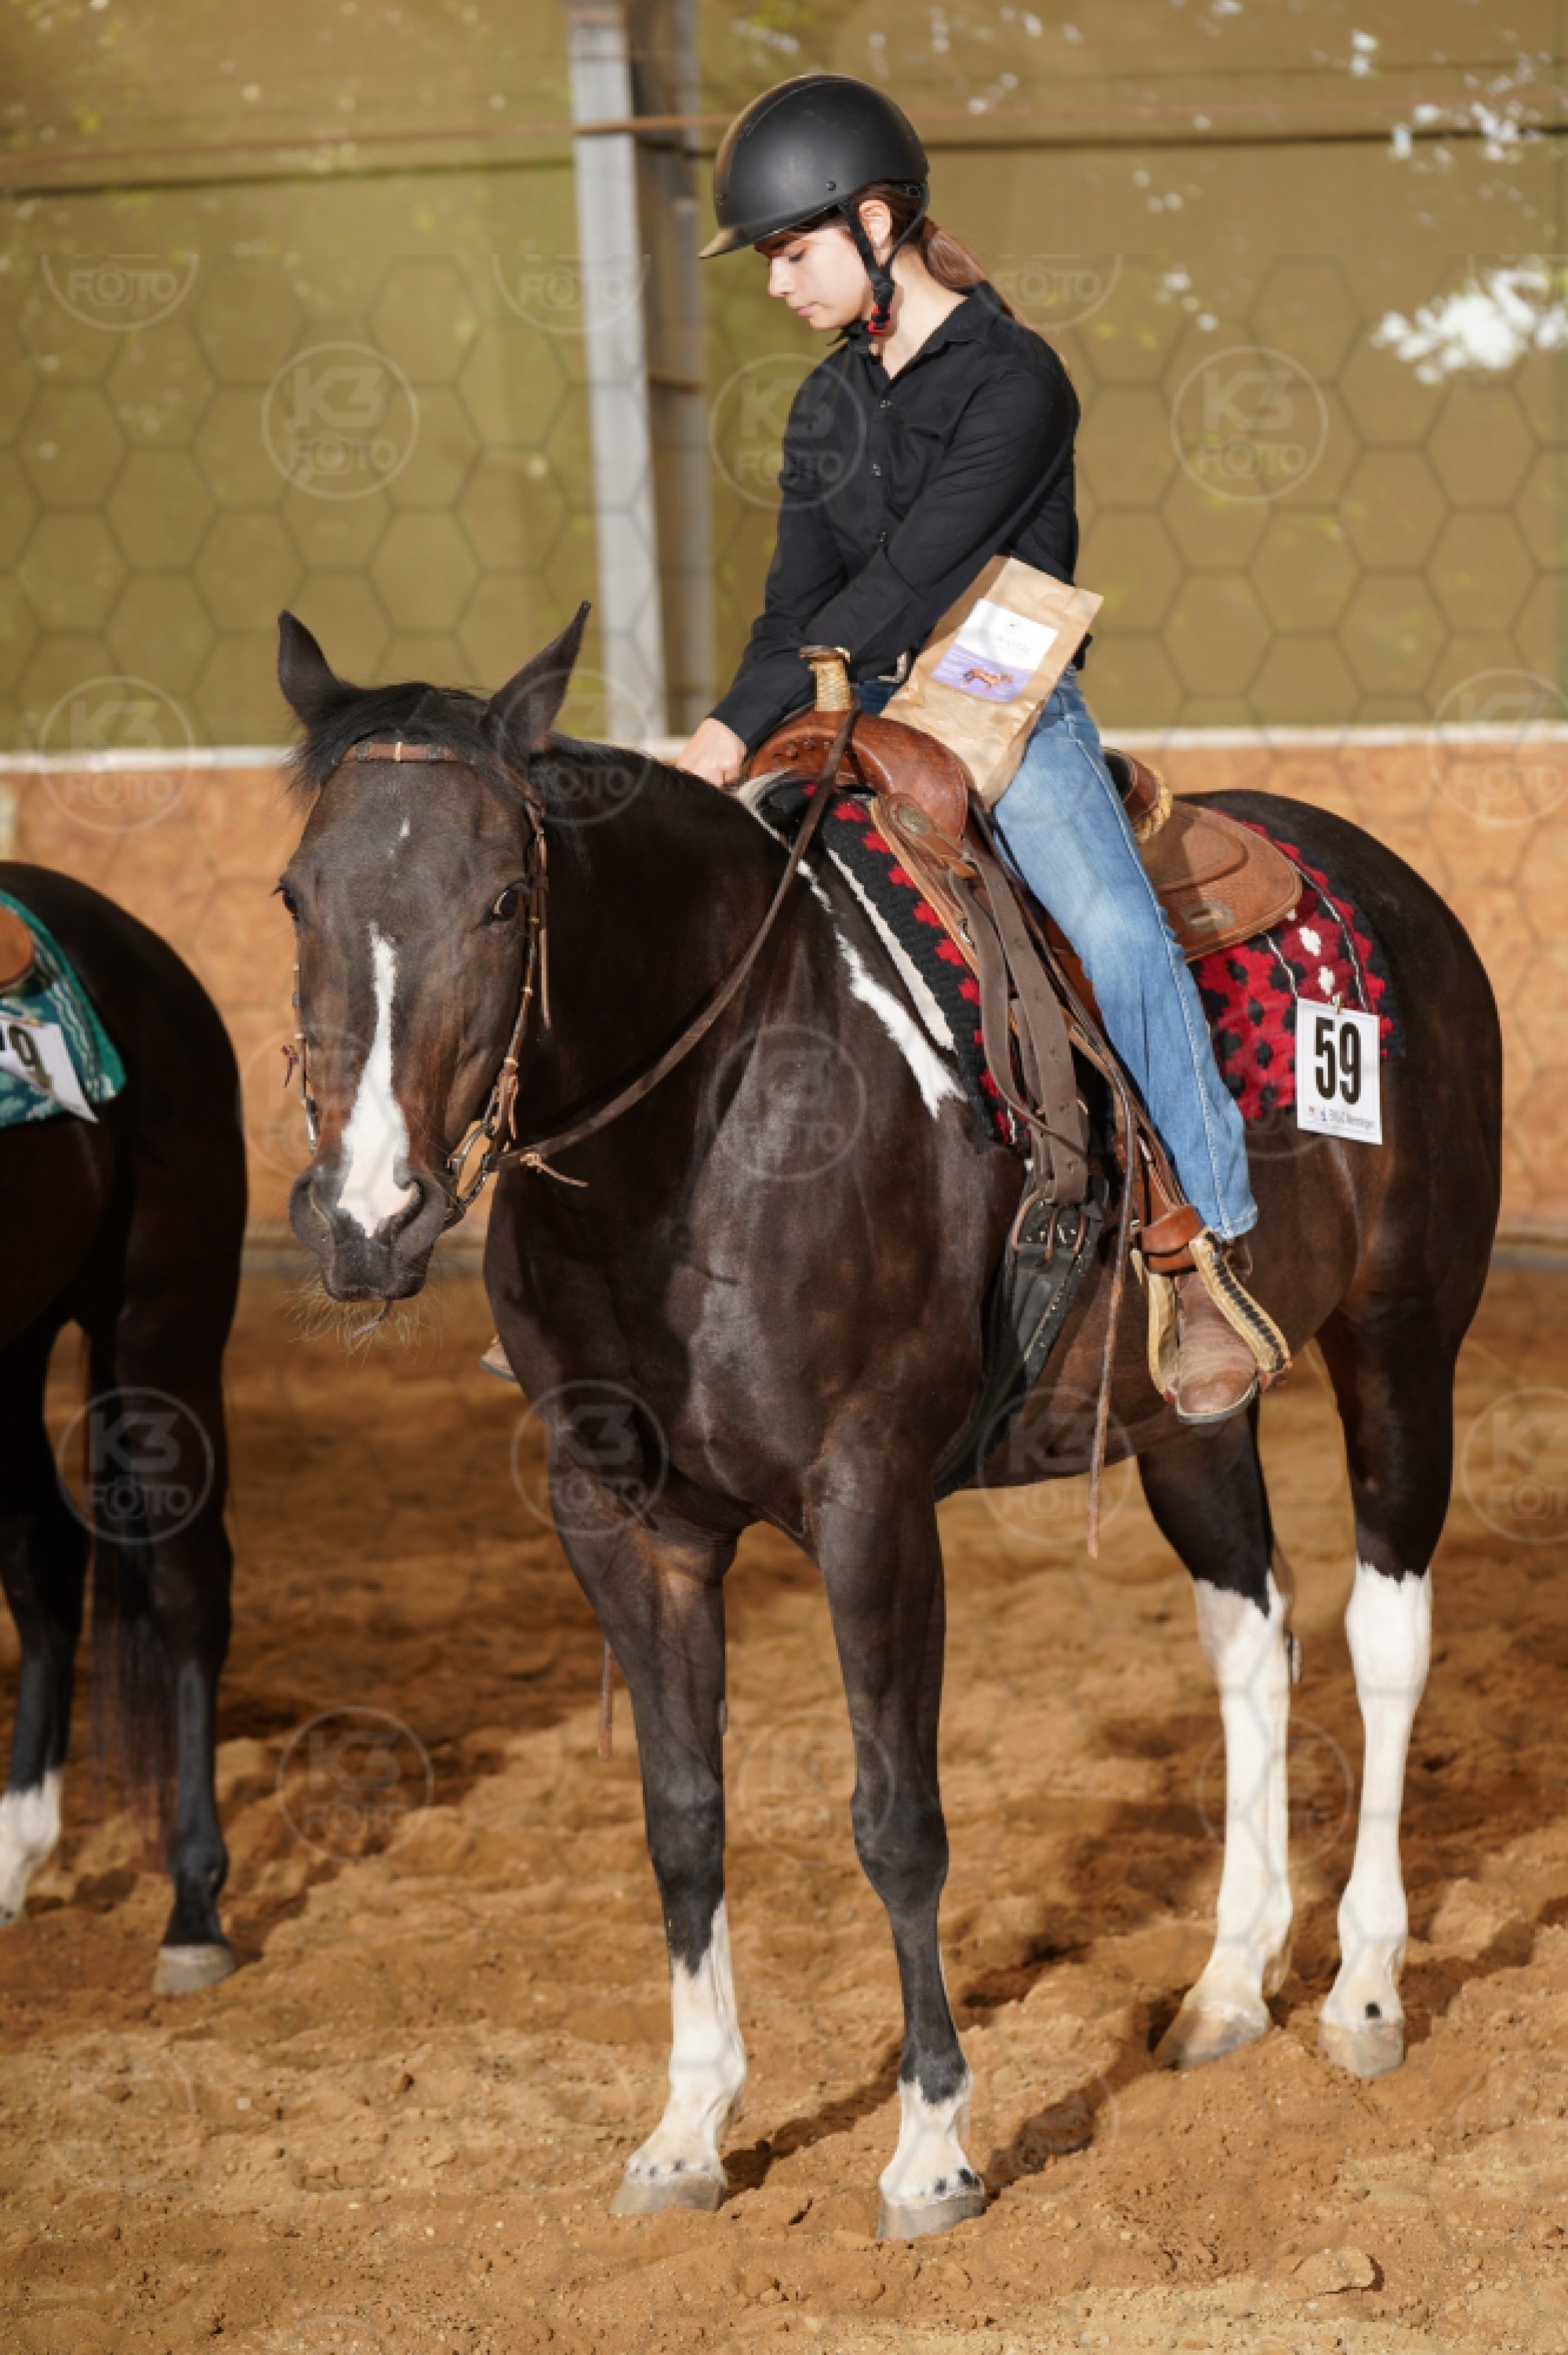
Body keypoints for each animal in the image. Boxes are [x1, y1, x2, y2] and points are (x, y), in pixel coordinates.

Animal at [275, 605, 1501, 2240]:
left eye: (502, 898)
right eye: (296, 894)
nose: (366, 1217)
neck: (716, 1117)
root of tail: (1394, 885)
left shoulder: (872, 1508)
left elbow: (897, 1820)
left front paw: (931, 2145)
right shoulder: (627, 1528)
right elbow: (682, 1813)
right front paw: (688, 2127)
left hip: (1405, 1341)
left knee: (1385, 1638)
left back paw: (1363, 1990)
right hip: (1187, 1422)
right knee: (1255, 1636)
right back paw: (1233, 1983)